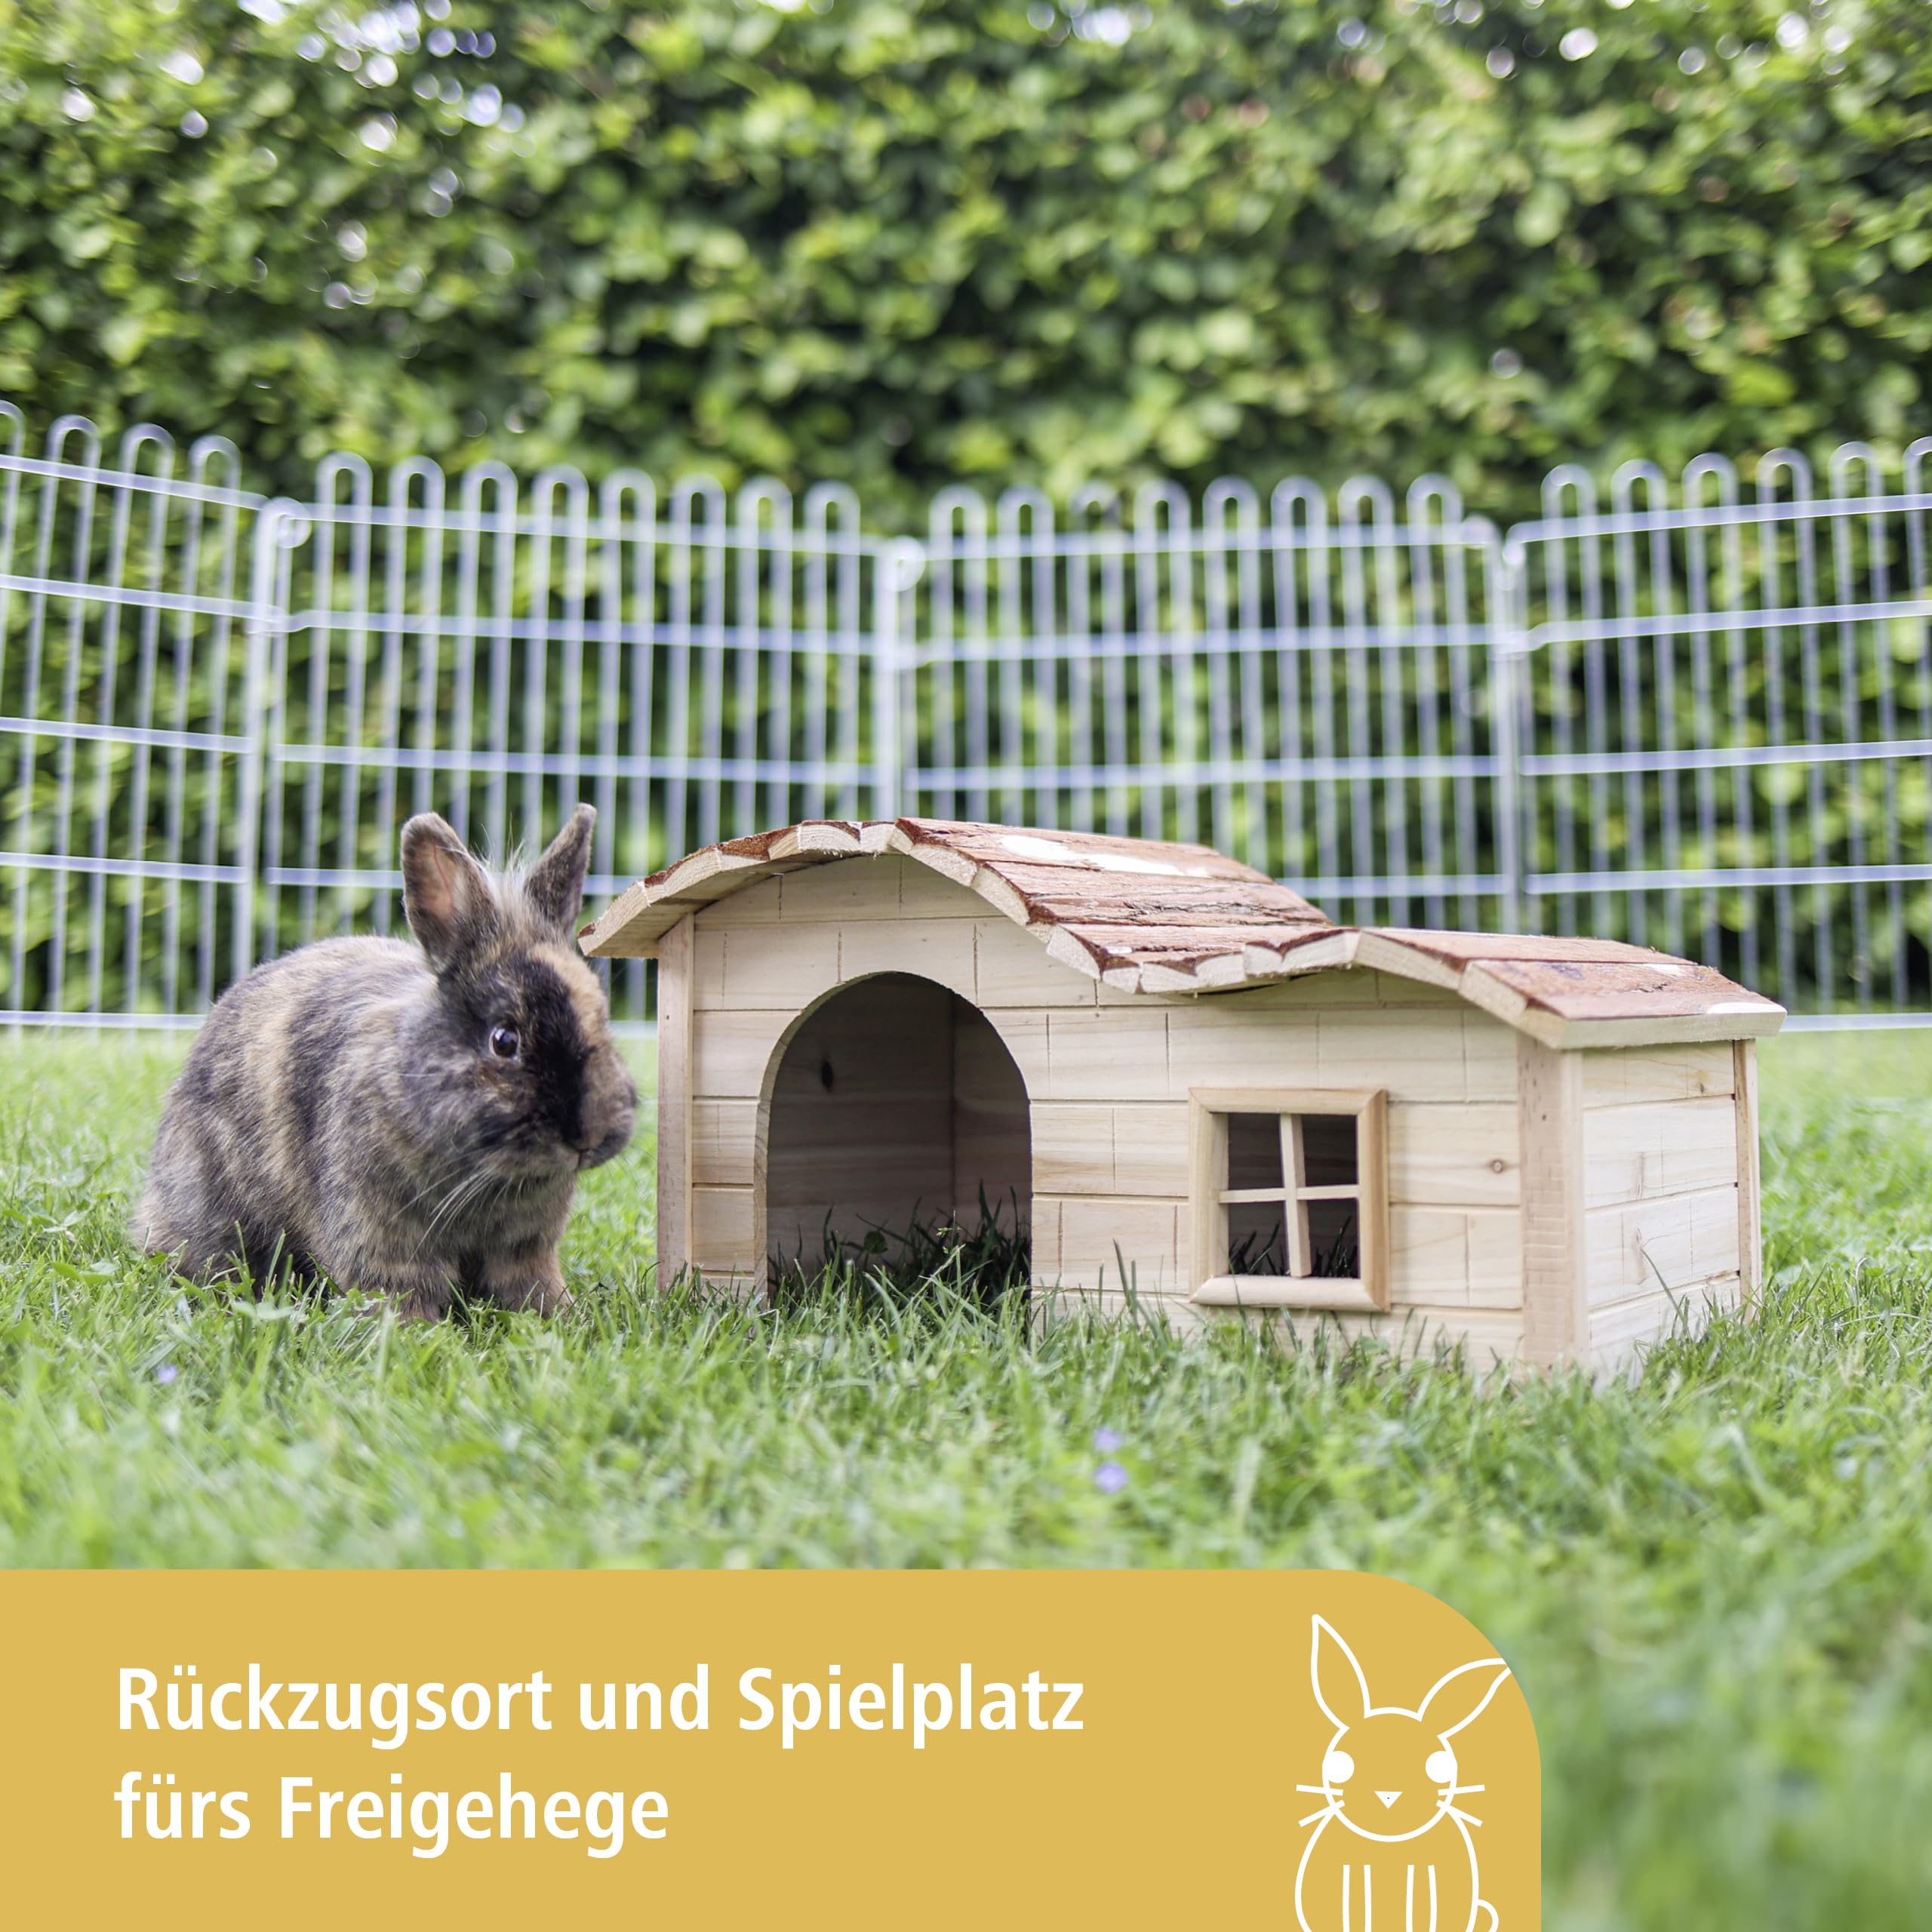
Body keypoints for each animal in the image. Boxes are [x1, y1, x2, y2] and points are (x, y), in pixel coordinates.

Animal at [133, 804, 636, 1318]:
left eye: (601, 1015)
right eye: (504, 1040)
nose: (588, 1136)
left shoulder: (524, 1247)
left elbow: (530, 1283)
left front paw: (558, 1314)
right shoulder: (382, 1239)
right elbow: (401, 1290)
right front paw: (411, 1330)